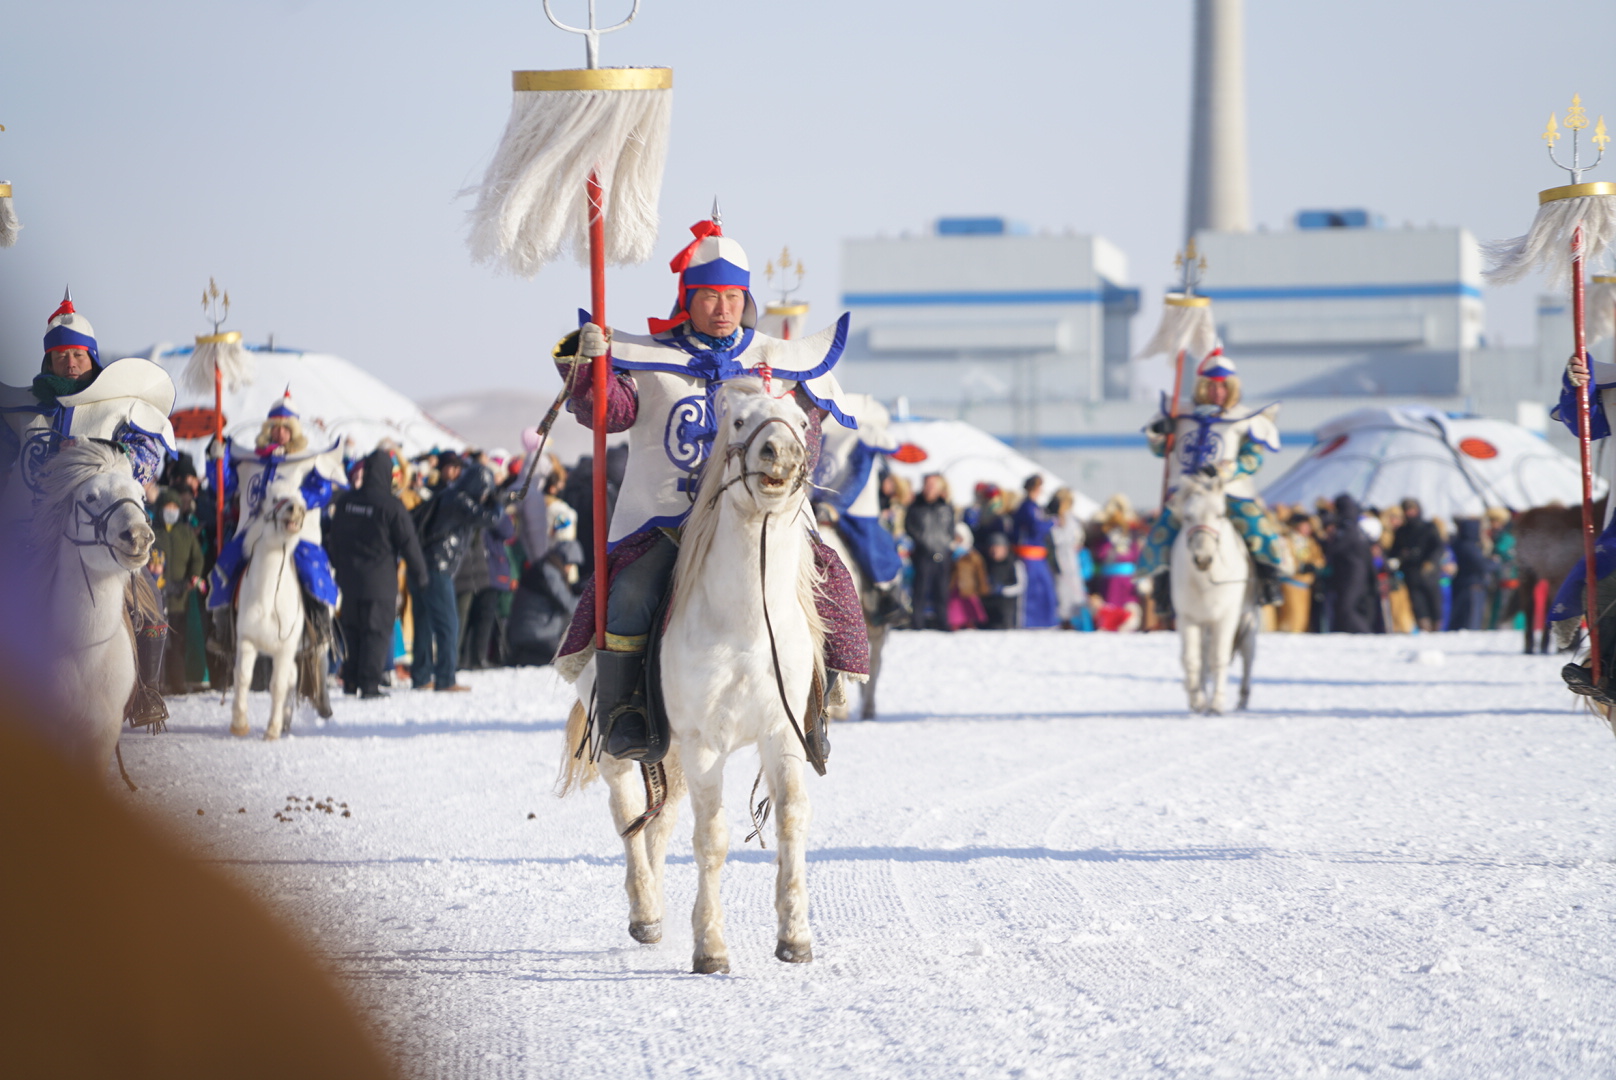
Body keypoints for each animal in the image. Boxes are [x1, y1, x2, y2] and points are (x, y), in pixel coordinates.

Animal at [234, 488, 308, 743]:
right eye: (275, 498)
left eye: (303, 501)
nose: (296, 509)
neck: (267, 600)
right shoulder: (246, 640)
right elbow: (243, 678)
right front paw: (240, 725)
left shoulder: (284, 649)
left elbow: (278, 686)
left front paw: (272, 730)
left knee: (290, 680)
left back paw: (285, 720)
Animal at [562, 378, 827, 970]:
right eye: (739, 420)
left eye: (803, 423)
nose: (781, 451)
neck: (747, 622)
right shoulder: (706, 743)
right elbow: (711, 839)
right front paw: (710, 947)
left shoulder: (781, 734)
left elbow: (792, 820)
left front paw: (795, 937)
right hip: (621, 745)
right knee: (628, 814)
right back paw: (644, 912)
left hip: (670, 751)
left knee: (657, 823)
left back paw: (656, 909)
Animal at [1176, 472, 1260, 717]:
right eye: (1187, 516)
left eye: (1220, 514)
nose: (1203, 559)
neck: (1205, 583)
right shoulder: (1188, 617)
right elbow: (1192, 660)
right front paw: (1197, 701)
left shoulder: (1225, 618)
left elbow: (1219, 658)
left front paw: (1216, 705)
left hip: (1248, 621)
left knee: (1248, 655)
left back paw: (1242, 701)